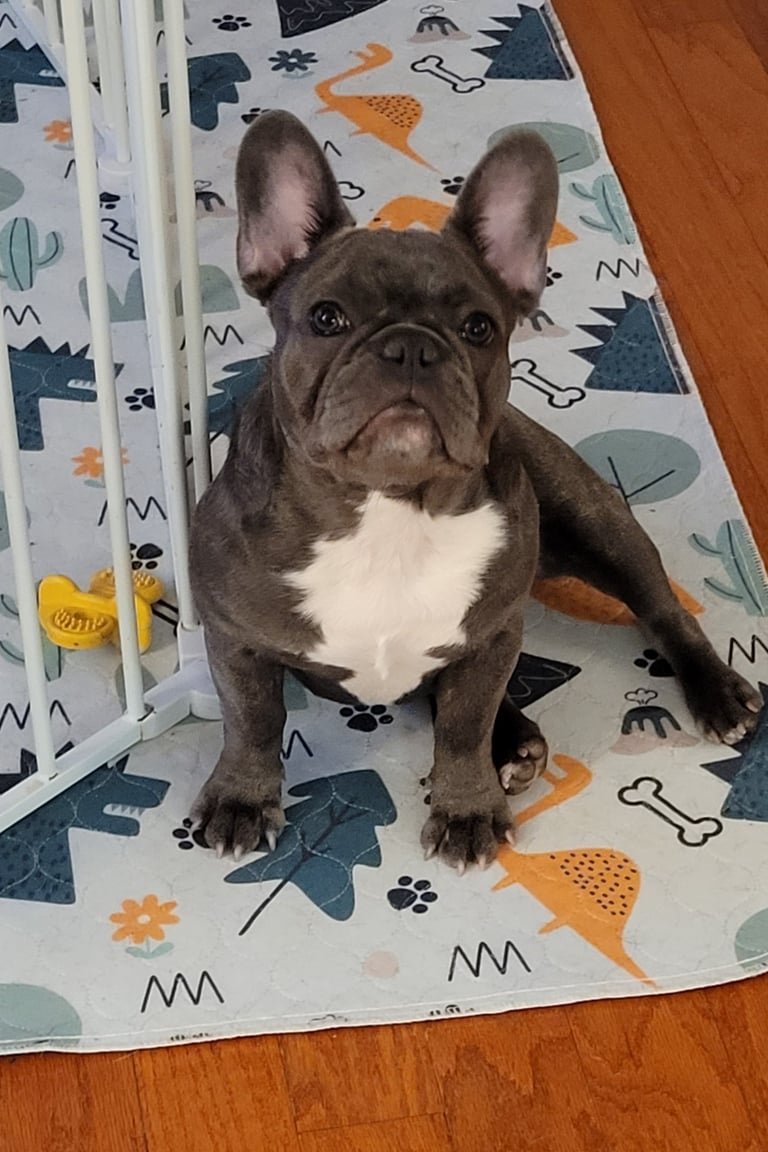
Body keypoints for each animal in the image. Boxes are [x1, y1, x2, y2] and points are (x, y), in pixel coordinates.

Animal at [189, 111, 761, 871]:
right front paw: (243, 800)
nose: (409, 347)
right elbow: (252, 719)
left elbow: (463, 724)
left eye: (478, 328)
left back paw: (712, 694)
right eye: (326, 318)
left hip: (594, 517)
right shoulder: (234, 639)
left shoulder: (493, 635)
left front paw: (465, 810)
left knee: (661, 609)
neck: (387, 511)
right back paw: (516, 741)